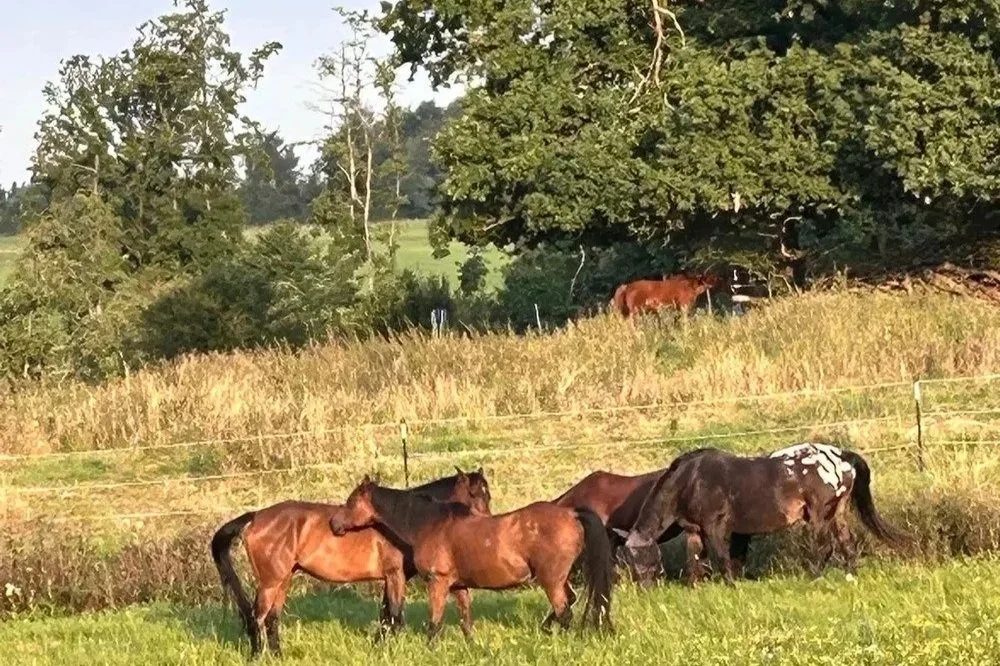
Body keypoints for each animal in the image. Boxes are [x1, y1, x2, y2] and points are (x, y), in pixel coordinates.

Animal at [210, 467, 491, 656]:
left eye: (487, 495)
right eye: (475, 494)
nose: (486, 525)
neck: (403, 521)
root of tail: (256, 516)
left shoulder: (390, 578)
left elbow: (385, 615)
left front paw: (377, 647)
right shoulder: (395, 574)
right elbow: (395, 616)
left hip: (283, 580)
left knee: (272, 618)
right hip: (270, 582)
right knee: (257, 617)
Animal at [329, 476, 615, 641]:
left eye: (351, 501)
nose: (334, 524)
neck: (430, 524)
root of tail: (571, 513)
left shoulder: (438, 582)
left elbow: (434, 623)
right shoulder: (459, 587)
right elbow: (466, 621)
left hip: (551, 579)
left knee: (564, 612)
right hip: (557, 578)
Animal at [619, 443, 905, 587]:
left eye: (642, 556)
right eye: (630, 560)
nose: (645, 588)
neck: (691, 480)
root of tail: (840, 456)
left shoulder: (715, 528)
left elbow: (723, 558)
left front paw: (732, 586)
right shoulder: (694, 531)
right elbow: (694, 561)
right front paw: (694, 588)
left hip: (819, 516)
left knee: (825, 548)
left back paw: (814, 577)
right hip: (837, 514)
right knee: (847, 544)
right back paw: (850, 575)